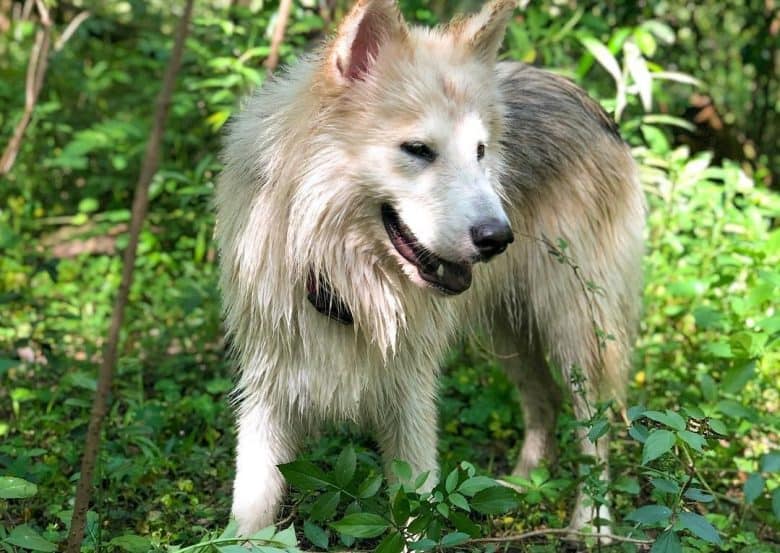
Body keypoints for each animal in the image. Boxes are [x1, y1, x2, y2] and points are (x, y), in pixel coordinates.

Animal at [215, 0, 644, 536]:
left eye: (480, 153)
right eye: (418, 150)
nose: (498, 238)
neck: (344, 281)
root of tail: (580, 94)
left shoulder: (411, 403)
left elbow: (417, 514)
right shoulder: (268, 395)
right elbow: (249, 516)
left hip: (574, 330)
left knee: (595, 430)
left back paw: (590, 525)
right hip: (508, 331)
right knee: (545, 399)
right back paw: (522, 485)